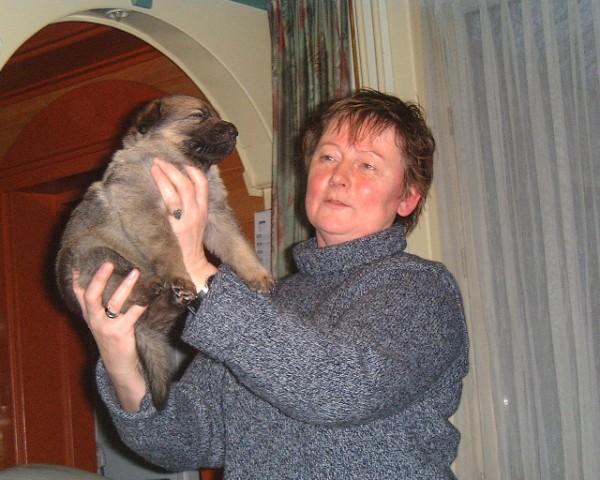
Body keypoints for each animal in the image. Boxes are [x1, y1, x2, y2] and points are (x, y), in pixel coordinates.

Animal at [56, 94, 273, 409]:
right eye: (198, 116)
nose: (234, 130)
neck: (179, 162)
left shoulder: (215, 214)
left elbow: (237, 244)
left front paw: (257, 274)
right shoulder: (147, 211)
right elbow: (169, 246)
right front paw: (180, 276)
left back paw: (174, 299)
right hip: (99, 257)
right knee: (127, 290)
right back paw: (158, 287)